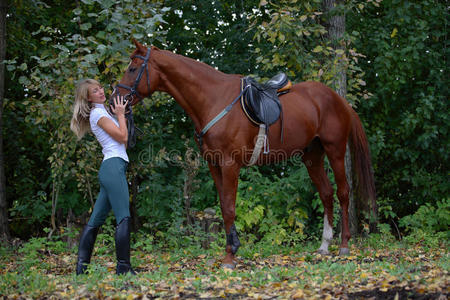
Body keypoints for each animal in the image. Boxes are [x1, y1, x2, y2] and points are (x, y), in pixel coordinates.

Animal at [114, 40, 374, 270]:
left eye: (133, 68)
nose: (116, 98)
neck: (213, 99)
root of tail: (340, 100)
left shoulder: (230, 164)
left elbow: (230, 207)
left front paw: (230, 258)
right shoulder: (214, 164)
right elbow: (223, 206)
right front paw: (232, 248)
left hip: (335, 150)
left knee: (343, 193)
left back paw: (343, 245)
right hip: (313, 156)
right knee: (326, 193)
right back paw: (324, 245)